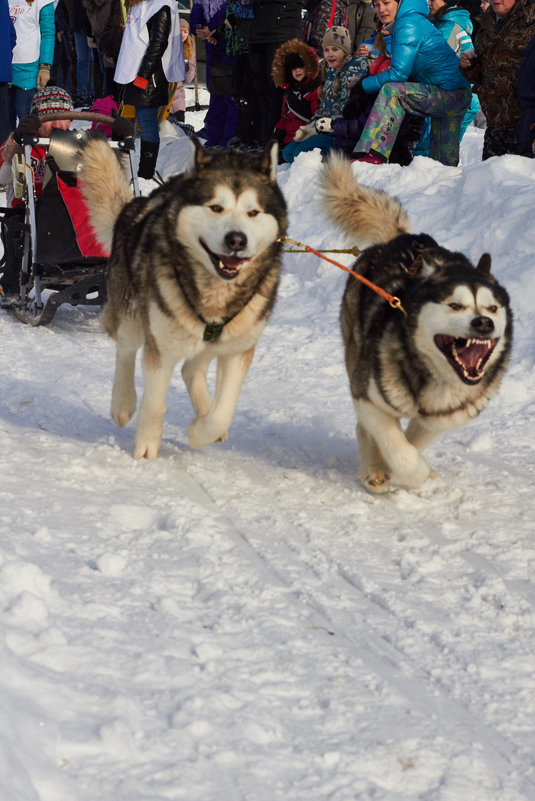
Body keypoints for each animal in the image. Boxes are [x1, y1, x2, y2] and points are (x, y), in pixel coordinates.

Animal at [80, 141, 286, 460]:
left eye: (253, 212)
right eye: (216, 207)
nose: (236, 240)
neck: (215, 293)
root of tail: (136, 204)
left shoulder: (238, 350)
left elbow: (222, 412)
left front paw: (200, 430)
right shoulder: (160, 347)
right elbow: (154, 402)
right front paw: (147, 449)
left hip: (211, 340)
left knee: (192, 369)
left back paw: (202, 410)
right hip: (130, 310)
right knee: (125, 349)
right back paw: (123, 403)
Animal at [320, 155, 512, 494]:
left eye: (492, 307)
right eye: (455, 305)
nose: (484, 323)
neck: (436, 379)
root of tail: (404, 239)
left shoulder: (442, 417)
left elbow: (414, 439)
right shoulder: (368, 394)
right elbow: (399, 448)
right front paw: (400, 469)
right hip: (356, 352)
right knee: (364, 426)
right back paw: (373, 467)